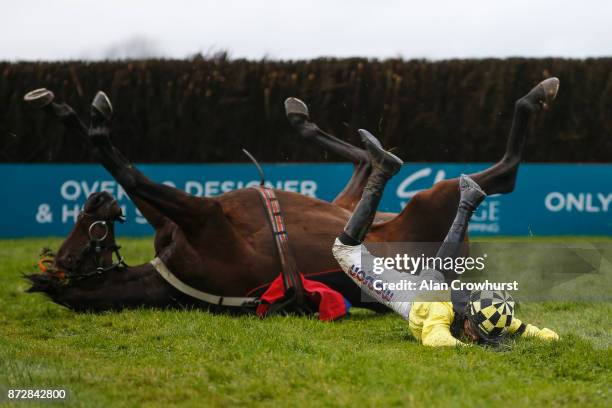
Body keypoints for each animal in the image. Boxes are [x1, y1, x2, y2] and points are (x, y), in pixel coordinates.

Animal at [23, 78, 560, 314]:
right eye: (71, 254)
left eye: (78, 237)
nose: (96, 203)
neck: (172, 275)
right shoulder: (206, 217)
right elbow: (132, 176)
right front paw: (90, 121)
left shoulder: (187, 218)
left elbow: (133, 180)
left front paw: (65, 111)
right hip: (432, 201)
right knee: (502, 174)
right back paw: (536, 95)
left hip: (354, 206)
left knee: (366, 166)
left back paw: (318, 125)